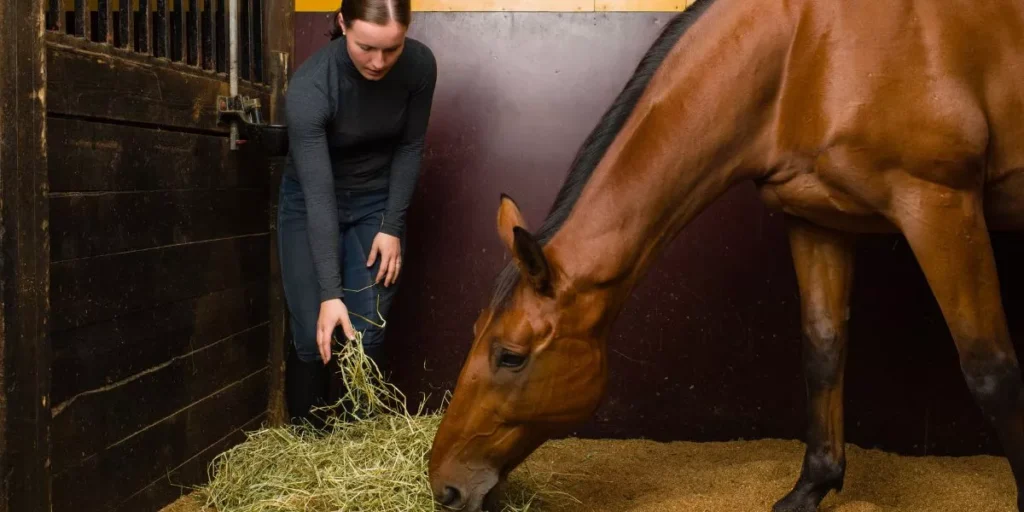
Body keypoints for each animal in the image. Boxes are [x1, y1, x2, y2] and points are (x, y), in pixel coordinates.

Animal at [426, 0, 1024, 510]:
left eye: (510, 356)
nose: (445, 485)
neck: (808, 51)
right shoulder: (816, 219)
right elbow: (823, 349)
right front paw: (812, 487)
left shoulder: (941, 206)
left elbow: (990, 370)